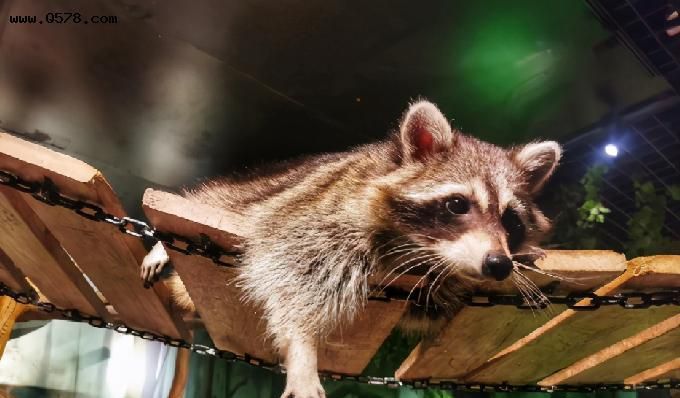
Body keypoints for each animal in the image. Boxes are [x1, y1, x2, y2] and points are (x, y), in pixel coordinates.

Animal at [141, 100, 560, 398]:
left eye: (511, 221)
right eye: (458, 204)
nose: (498, 264)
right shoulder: (323, 212)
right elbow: (289, 267)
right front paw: (302, 348)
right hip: (254, 190)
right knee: (223, 198)